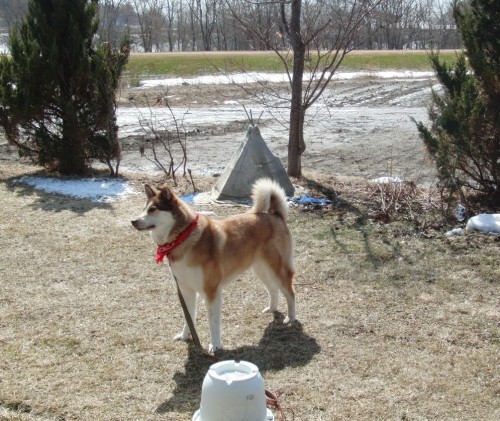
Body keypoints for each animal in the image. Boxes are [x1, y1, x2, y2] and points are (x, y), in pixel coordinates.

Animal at [132, 177, 296, 352]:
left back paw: (291, 318)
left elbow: (213, 322)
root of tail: (276, 215)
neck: (182, 237)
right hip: (261, 269)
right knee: (273, 289)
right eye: (144, 208)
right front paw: (185, 336)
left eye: (153, 209)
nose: (133, 221)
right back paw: (272, 308)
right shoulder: (185, 289)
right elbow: (189, 316)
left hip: (277, 269)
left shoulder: (211, 291)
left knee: (290, 293)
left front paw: (215, 345)